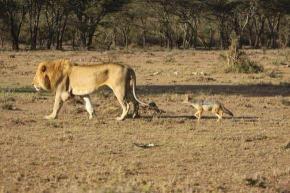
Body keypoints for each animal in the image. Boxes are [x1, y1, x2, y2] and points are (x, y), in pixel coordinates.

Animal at [32, 59, 162, 121]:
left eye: (36, 76)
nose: (32, 84)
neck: (53, 72)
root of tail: (127, 67)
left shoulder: (62, 92)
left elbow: (56, 106)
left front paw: (50, 117)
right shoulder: (84, 94)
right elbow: (89, 105)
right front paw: (92, 116)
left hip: (119, 89)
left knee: (126, 105)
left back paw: (121, 118)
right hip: (128, 89)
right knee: (135, 102)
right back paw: (135, 115)